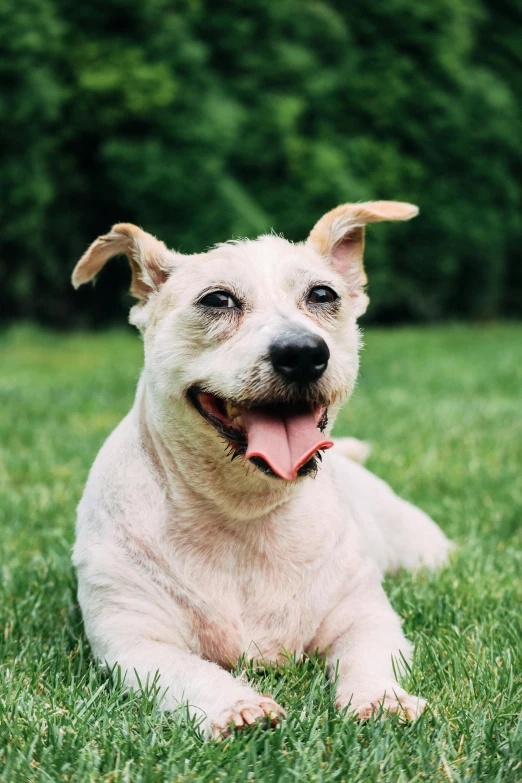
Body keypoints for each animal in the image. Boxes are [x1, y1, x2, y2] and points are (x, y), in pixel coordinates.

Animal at [71, 199, 448, 740]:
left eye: (322, 294)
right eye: (217, 300)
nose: (304, 353)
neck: (243, 510)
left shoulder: (365, 615)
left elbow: (369, 656)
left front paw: (381, 699)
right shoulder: (134, 641)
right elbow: (189, 671)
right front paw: (238, 705)